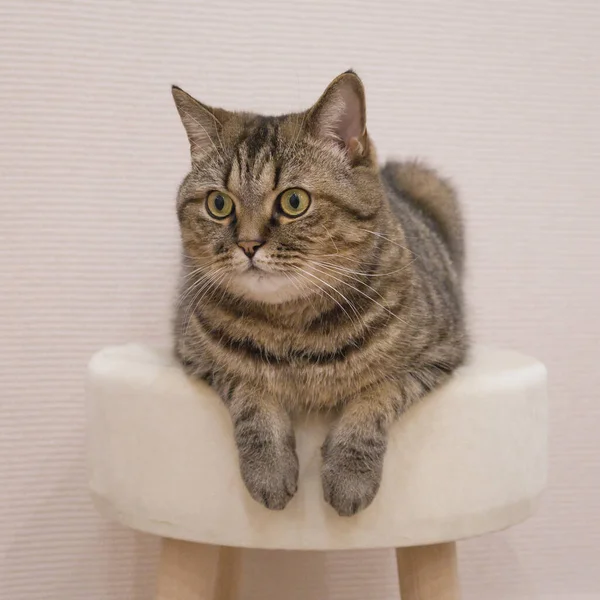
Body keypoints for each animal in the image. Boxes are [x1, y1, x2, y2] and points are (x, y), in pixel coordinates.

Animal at [171, 71, 466, 516]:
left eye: (294, 201)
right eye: (218, 204)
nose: (248, 244)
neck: (293, 329)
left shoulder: (439, 354)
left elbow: (376, 397)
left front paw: (349, 475)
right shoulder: (196, 356)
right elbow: (251, 395)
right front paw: (270, 469)